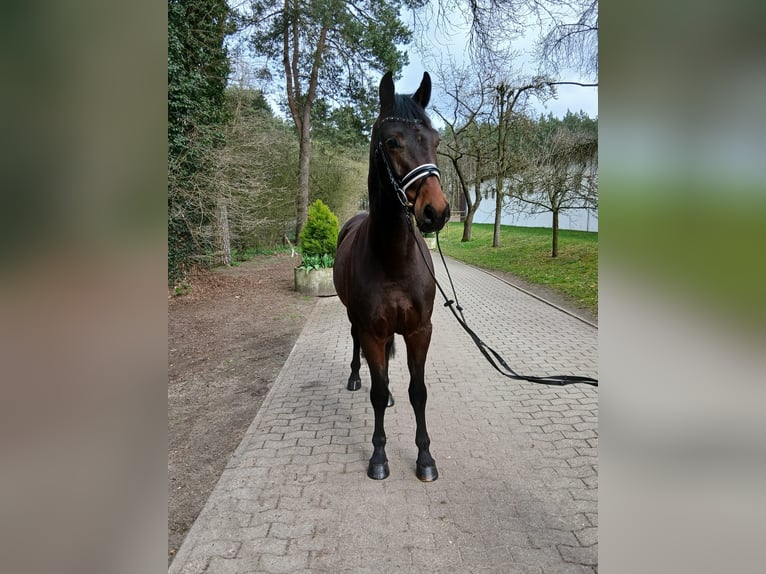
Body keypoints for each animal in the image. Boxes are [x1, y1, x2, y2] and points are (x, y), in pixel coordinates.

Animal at [333, 71, 450, 481]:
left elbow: (419, 392)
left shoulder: (419, 331)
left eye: (435, 140)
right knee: (360, 352)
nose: (436, 212)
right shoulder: (371, 329)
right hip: (354, 319)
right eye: (392, 141)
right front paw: (379, 457)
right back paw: (356, 376)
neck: (394, 259)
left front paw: (426, 458)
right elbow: (377, 392)